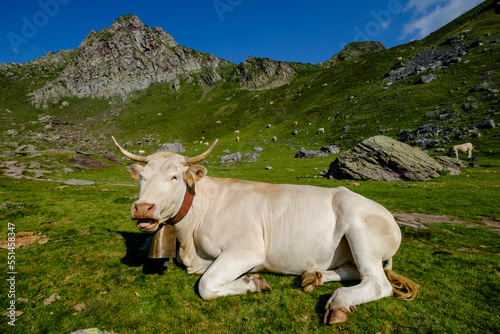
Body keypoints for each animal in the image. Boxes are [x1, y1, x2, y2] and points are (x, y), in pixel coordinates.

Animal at [112, 135, 418, 324]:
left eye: (174, 177)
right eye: (142, 177)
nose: (143, 208)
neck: (189, 240)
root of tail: (388, 216)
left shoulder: (246, 251)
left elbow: (207, 285)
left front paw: (253, 282)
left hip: (359, 229)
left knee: (377, 282)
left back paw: (339, 302)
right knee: (353, 271)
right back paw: (313, 276)